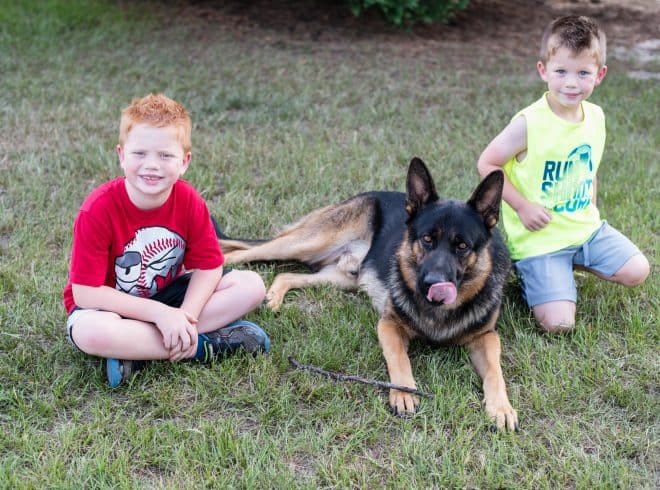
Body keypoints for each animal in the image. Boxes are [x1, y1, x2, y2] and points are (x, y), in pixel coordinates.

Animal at [219, 157, 520, 428]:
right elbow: (399, 359)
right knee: (239, 252)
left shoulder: (486, 337)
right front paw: (403, 392)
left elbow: (495, 371)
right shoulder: (388, 325)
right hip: (305, 243)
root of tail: (369, 194)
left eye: (462, 246)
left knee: (285, 274)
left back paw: (273, 297)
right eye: (427, 239)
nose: (431, 284)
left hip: (341, 277)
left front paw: (501, 408)